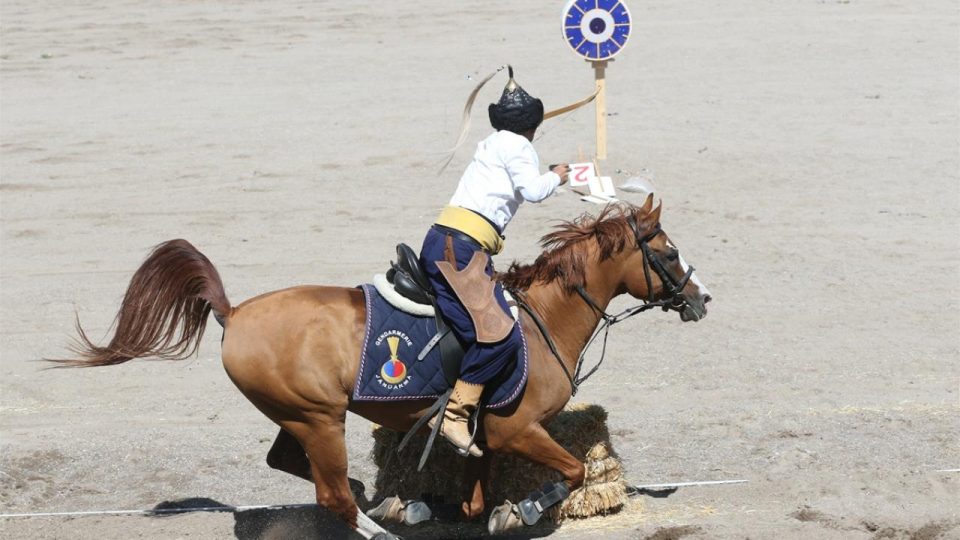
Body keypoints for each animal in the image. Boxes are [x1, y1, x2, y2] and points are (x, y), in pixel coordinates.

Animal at [54, 195, 712, 540]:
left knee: (302, 471)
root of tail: (234, 311)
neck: (541, 317)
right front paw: (522, 507)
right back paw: (382, 523)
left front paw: (469, 506)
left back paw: (391, 502)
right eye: (671, 251)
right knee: (331, 494)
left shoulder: (489, 436)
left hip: (298, 417)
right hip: (319, 418)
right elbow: (572, 473)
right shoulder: (517, 429)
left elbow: (474, 495)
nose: (702, 298)